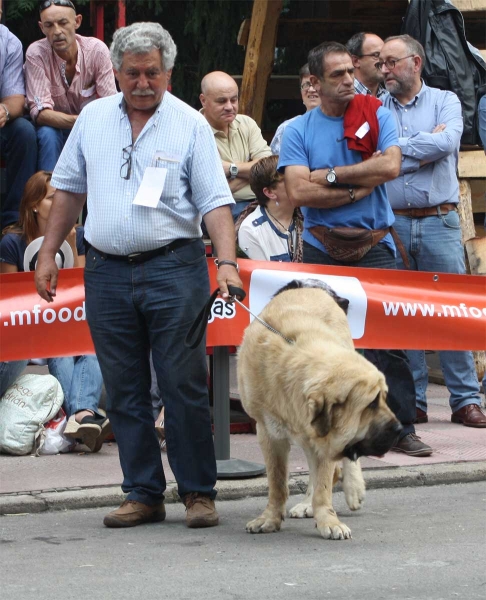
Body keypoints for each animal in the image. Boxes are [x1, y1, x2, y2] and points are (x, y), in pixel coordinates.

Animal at [237, 280, 400, 540]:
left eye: (383, 398)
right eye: (371, 404)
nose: (399, 428)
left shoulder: (329, 436)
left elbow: (323, 482)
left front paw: (328, 520)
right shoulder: (268, 432)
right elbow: (277, 481)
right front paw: (270, 518)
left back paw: (350, 489)